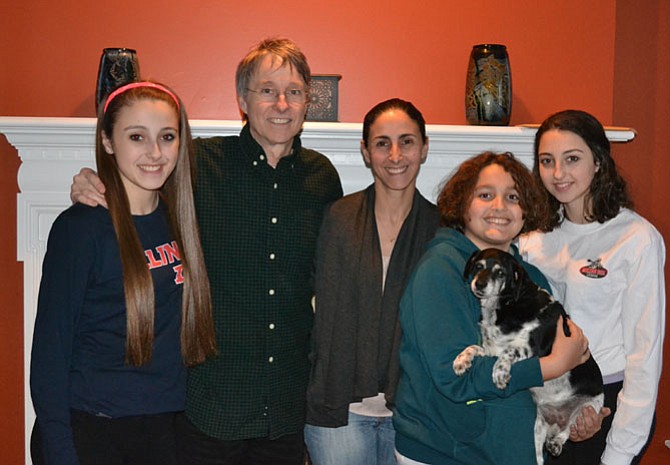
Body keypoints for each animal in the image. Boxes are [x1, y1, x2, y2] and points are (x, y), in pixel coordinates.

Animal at [454, 248, 608, 464]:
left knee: (568, 432)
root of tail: (556, 423)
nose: (479, 284)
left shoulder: (533, 348)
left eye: (500, 272)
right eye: (478, 266)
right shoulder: (491, 349)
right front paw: (461, 360)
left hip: (588, 408)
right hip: (537, 429)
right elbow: (474, 347)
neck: (509, 304)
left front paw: (500, 374)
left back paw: (557, 443)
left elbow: (508, 353)